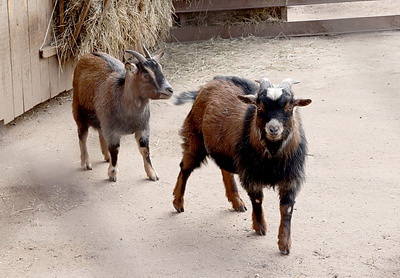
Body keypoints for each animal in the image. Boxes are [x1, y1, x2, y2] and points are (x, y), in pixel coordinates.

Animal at [72, 47, 173, 182]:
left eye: (160, 69)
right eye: (146, 75)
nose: (169, 90)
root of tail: (87, 54)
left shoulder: (143, 127)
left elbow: (145, 149)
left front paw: (152, 173)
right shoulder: (112, 130)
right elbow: (115, 149)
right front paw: (112, 174)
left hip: (101, 118)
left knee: (100, 131)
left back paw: (106, 156)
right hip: (78, 111)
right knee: (82, 136)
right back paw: (86, 163)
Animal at [173, 75, 310, 254]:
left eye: (289, 107)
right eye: (260, 106)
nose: (273, 129)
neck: (272, 155)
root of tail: (209, 83)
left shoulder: (291, 177)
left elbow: (286, 208)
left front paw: (284, 244)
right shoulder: (250, 172)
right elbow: (257, 200)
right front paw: (260, 227)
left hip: (224, 149)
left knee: (224, 170)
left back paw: (237, 202)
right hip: (195, 138)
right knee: (185, 168)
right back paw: (178, 202)